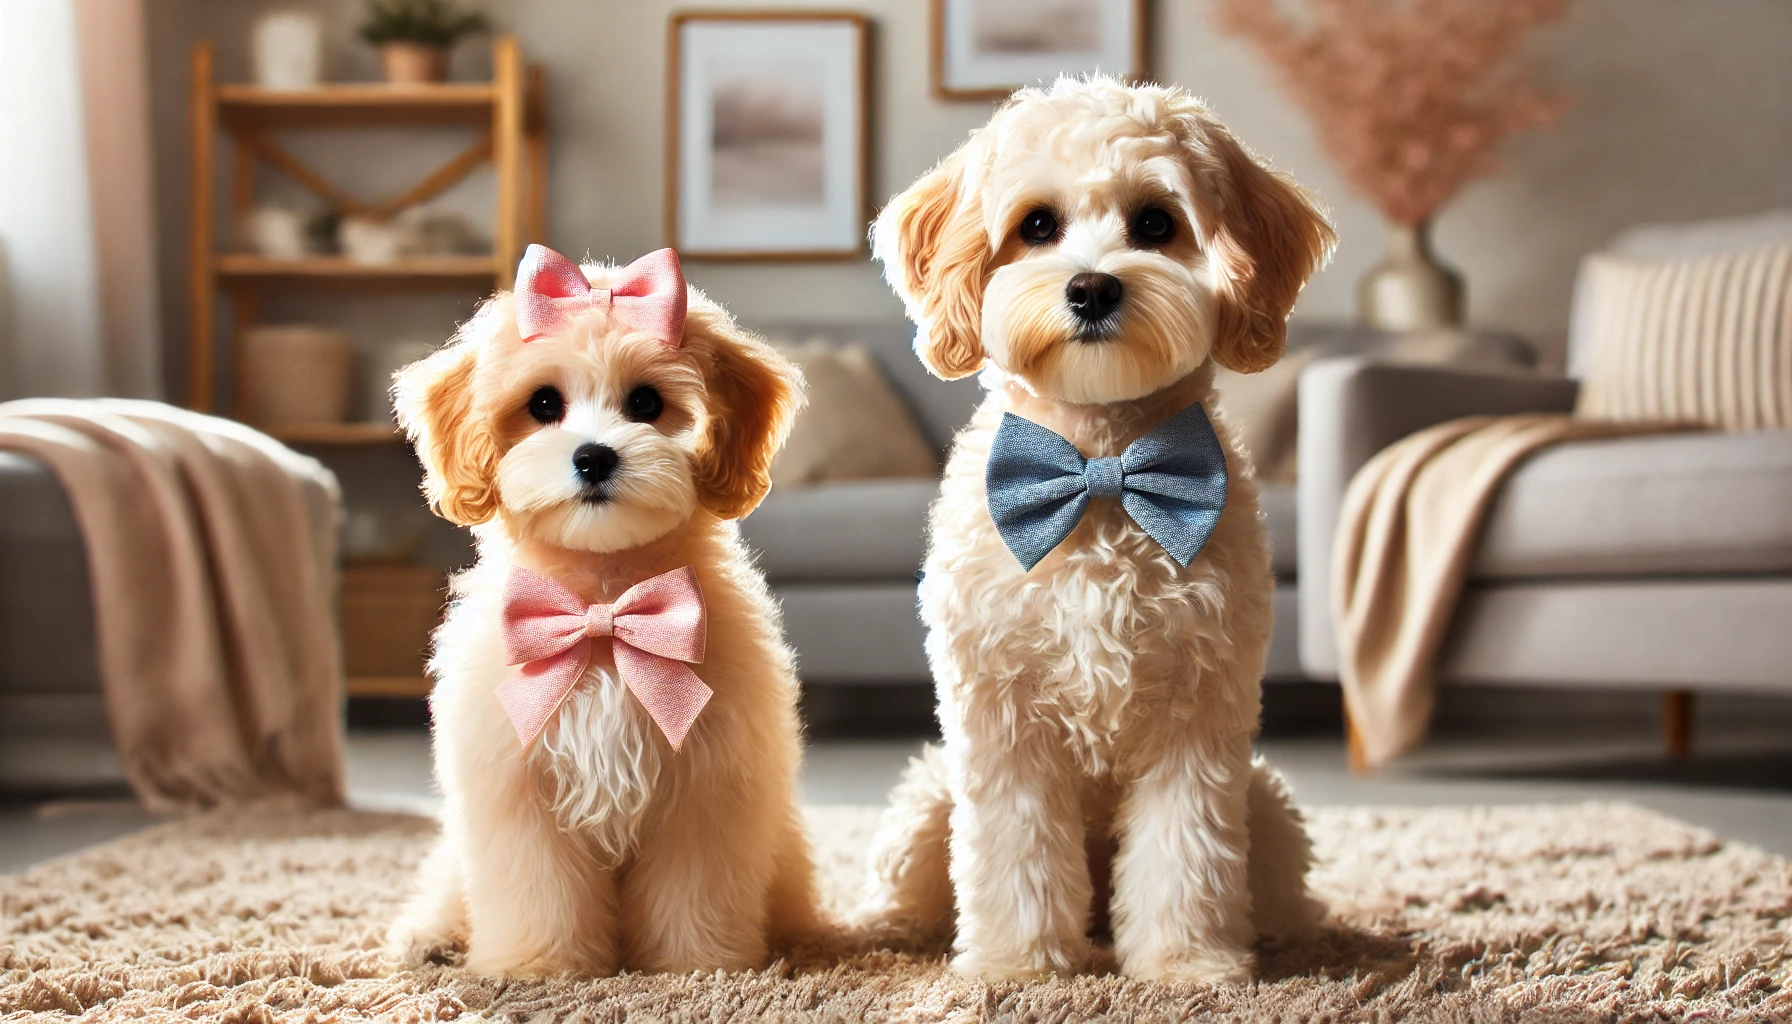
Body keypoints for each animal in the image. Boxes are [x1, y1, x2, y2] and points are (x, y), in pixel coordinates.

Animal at [388, 245, 820, 975]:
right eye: (543, 403)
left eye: (646, 402)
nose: (593, 456)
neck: (602, 605)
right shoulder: (519, 793)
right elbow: (538, 890)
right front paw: (539, 967)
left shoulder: (705, 790)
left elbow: (695, 887)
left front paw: (697, 965)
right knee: (446, 889)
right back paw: (428, 938)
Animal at [856, 76, 1347, 982]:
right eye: (1036, 225)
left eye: (1155, 223)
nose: (1091, 289)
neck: (1100, 470)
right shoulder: (1002, 719)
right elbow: (1013, 850)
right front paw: (1017, 965)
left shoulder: (1199, 713)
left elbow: (1186, 853)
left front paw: (1188, 963)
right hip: (927, 801)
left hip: (1265, 807)